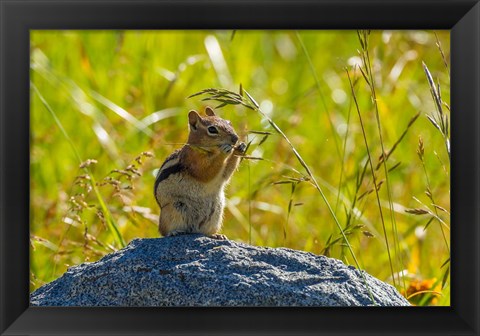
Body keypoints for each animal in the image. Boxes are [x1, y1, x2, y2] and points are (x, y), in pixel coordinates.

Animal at [154, 107, 246, 239]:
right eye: (212, 129)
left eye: (229, 122)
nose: (235, 138)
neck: (209, 152)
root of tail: (194, 230)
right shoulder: (194, 162)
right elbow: (205, 172)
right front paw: (225, 151)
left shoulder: (222, 175)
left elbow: (226, 173)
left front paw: (240, 148)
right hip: (172, 210)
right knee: (164, 231)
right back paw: (174, 232)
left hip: (216, 213)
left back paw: (216, 235)